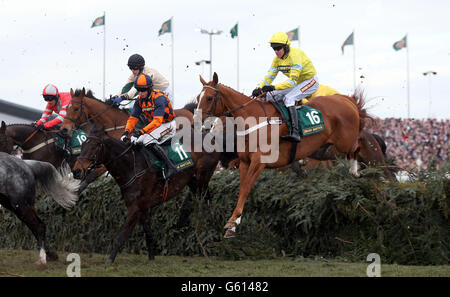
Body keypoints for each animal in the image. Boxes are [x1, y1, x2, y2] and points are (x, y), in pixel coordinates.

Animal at [194, 73, 370, 237]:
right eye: (197, 97)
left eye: (209, 98)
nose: (197, 123)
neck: (254, 122)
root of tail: (346, 99)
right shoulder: (244, 161)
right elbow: (241, 188)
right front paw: (234, 222)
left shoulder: (259, 162)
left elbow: (245, 187)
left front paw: (232, 223)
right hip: (326, 148)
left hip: (344, 142)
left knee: (356, 147)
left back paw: (355, 171)